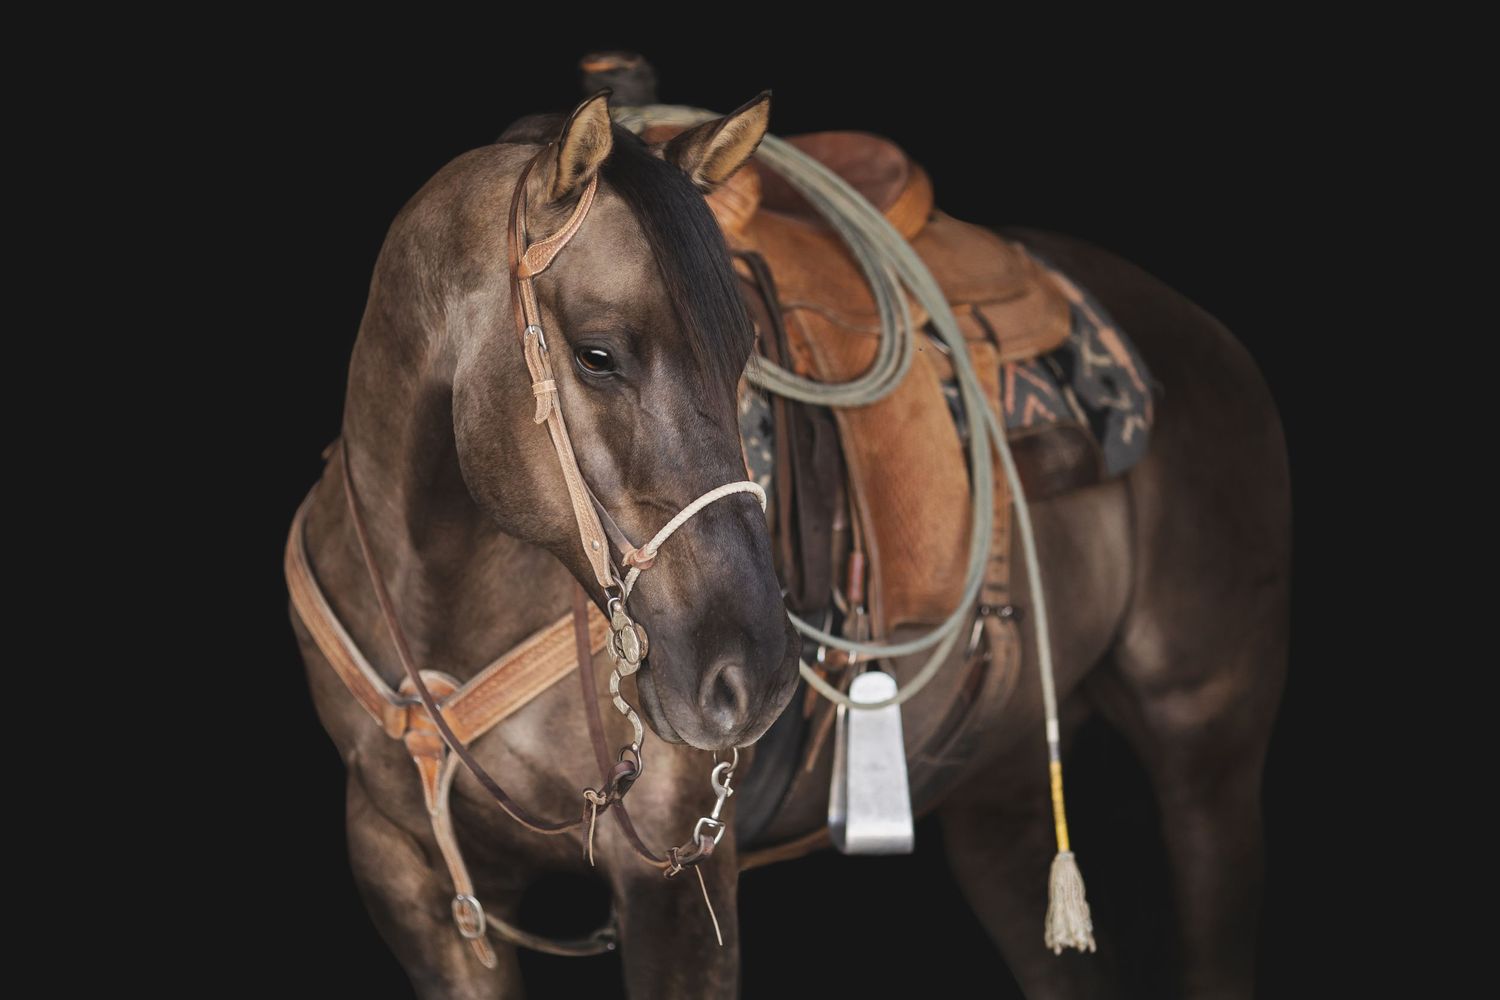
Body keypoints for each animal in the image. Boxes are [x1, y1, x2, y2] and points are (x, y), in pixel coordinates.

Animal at [286, 83, 1290, 999]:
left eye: (744, 360)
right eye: (598, 354)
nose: (753, 677)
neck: (443, 596)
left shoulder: (675, 885)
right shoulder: (413, 880)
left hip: (1207, 754)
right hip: (998, 801)